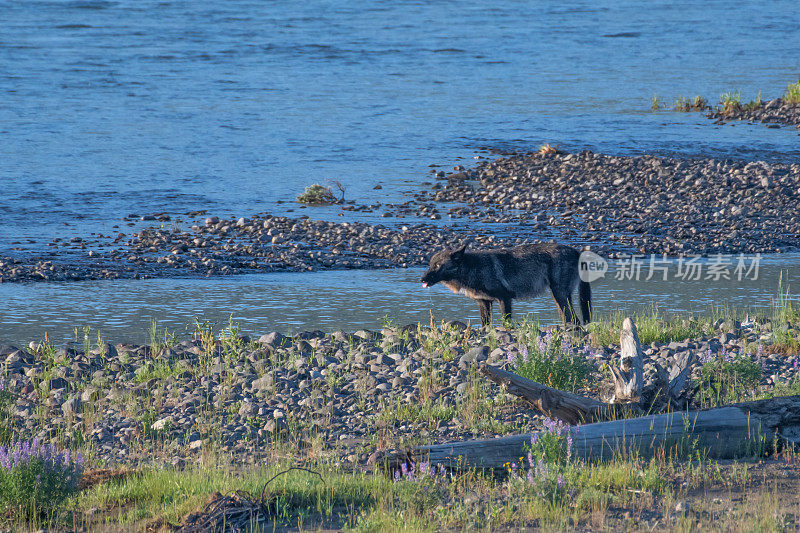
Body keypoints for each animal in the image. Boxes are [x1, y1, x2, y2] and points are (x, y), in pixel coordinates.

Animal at [422, 242, 592, 324]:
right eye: (430, 265)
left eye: (438, 266)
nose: (422, 280)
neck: (474, 269)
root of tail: (577, 252)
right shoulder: (483, 303)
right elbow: (485, 325)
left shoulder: (504, 299)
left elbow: (506, 323)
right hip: (560, 299)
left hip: (560, 296)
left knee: (575, 320)